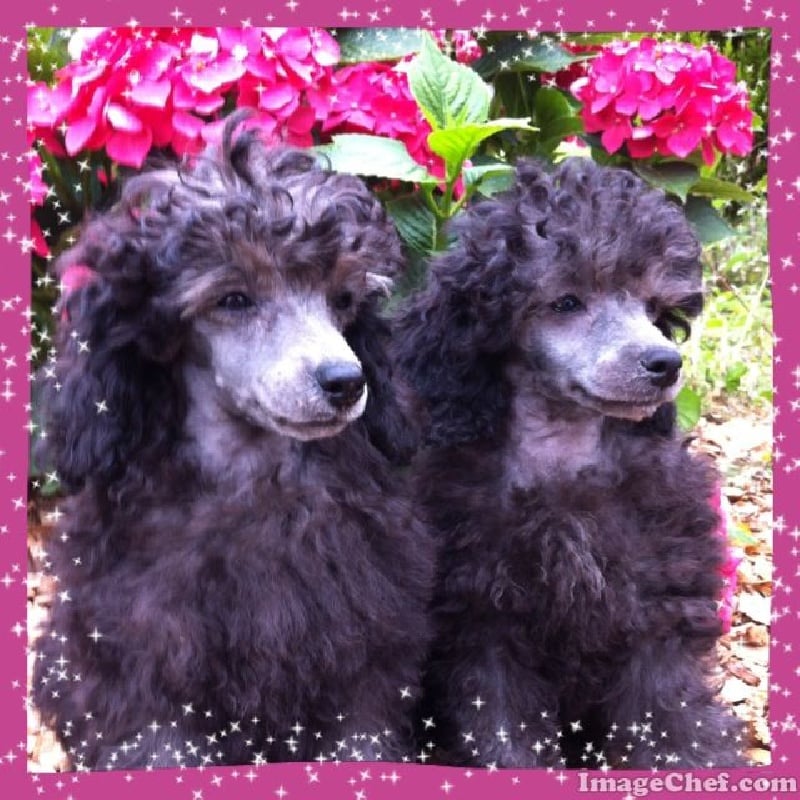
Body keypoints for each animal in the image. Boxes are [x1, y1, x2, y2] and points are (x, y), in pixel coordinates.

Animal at [32, 116, 433, 770]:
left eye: (342, 302)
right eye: (234, 300)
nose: (347, 382)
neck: (253, 479)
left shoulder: (362, 657)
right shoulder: (143, 675)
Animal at [395, 158, 743, 769]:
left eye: (654, 310)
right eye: (565, 304)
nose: (665, 363)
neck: (564, 454)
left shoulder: (657, 612)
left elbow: (672, 721)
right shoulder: (485, 626)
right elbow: (502, 731)